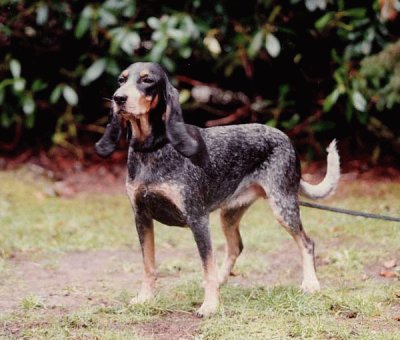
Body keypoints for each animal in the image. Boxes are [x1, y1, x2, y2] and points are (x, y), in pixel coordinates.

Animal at [94, 62, 340, 318]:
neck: (153, 149)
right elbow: (149, 264)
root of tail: (286, 138)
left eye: (147, 80)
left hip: (283, 207)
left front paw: (210, 305)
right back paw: (222, 281)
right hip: (229, 214)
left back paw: (311, 284)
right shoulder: (141, 217)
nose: (118, 98)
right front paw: (145, 298)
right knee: (236, 246)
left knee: (306, 242)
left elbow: (206, 265)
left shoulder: (198, 218)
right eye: (121, 80)